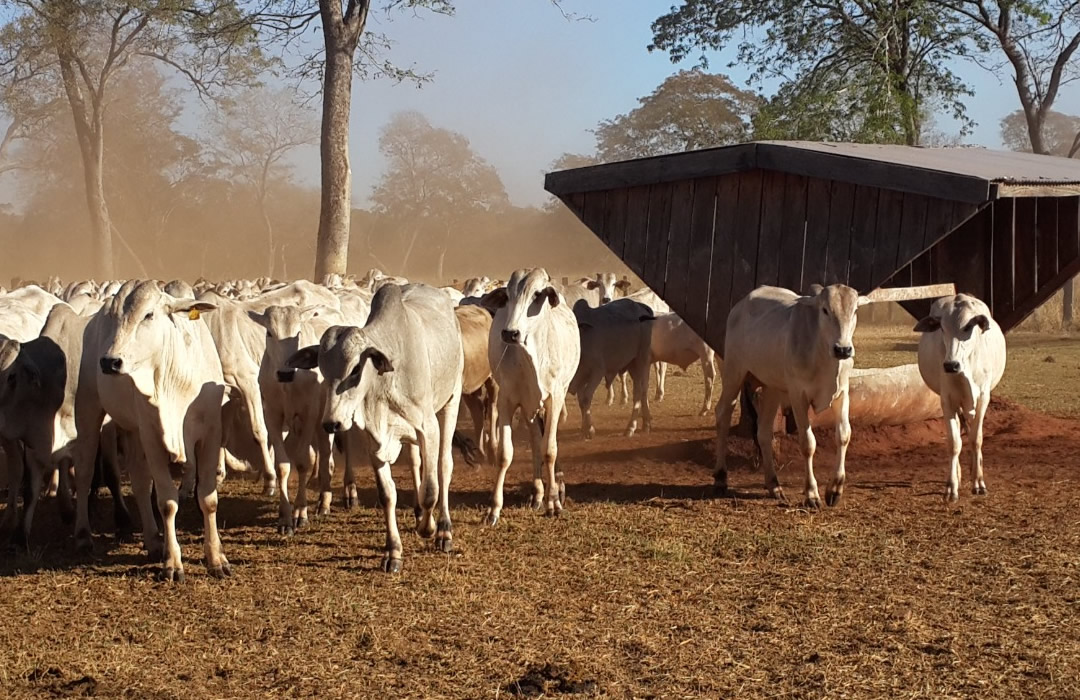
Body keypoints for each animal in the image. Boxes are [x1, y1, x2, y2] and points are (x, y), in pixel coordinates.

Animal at [717, 285, 868, 507]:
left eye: (855, 310)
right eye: (825, 310)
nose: (843, 349)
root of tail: (739, 306)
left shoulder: (842, 394)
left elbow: (843, 435)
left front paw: (835, 489)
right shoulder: (798, 396)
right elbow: (808, 443)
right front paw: (812, 494)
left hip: (772, 388)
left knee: (763, 432)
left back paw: (774, 485)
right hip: (733, 372)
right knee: (722, 414)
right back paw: (720, 477)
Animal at [915, 291, 1006, 501]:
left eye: (967, 327)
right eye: (942, 327)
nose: (951, 365)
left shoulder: (982, 398)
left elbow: (976, 439)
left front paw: (979, 482)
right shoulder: (947, 400)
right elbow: (954, 442)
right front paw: (951, 486)